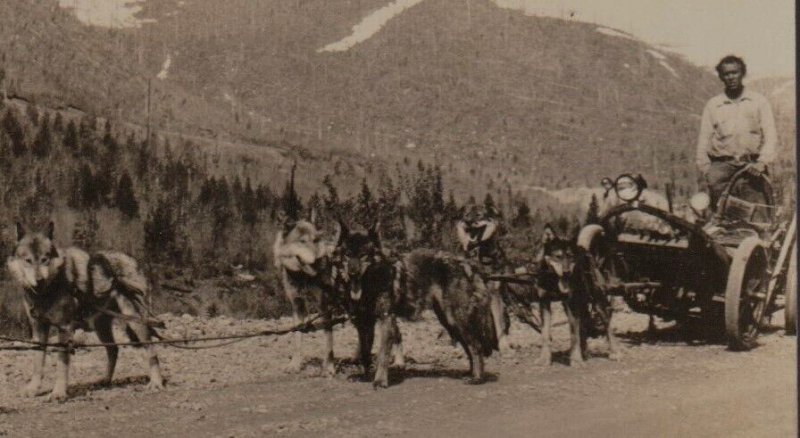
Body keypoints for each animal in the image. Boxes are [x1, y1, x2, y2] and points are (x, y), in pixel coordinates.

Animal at [6, 222, 164, 400]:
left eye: (45, 259)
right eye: (28, 260)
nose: (39, 280)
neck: (50, 289)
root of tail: (131, 259)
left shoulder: (65, 328)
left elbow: (62, 364)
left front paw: (58, 392)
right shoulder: (39, 328)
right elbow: (37, 362)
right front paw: (33, 389)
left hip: (135, 321)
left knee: (151, 350)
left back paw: (156, 382)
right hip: (101, 327)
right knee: (113, 350)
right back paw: (106, 380)